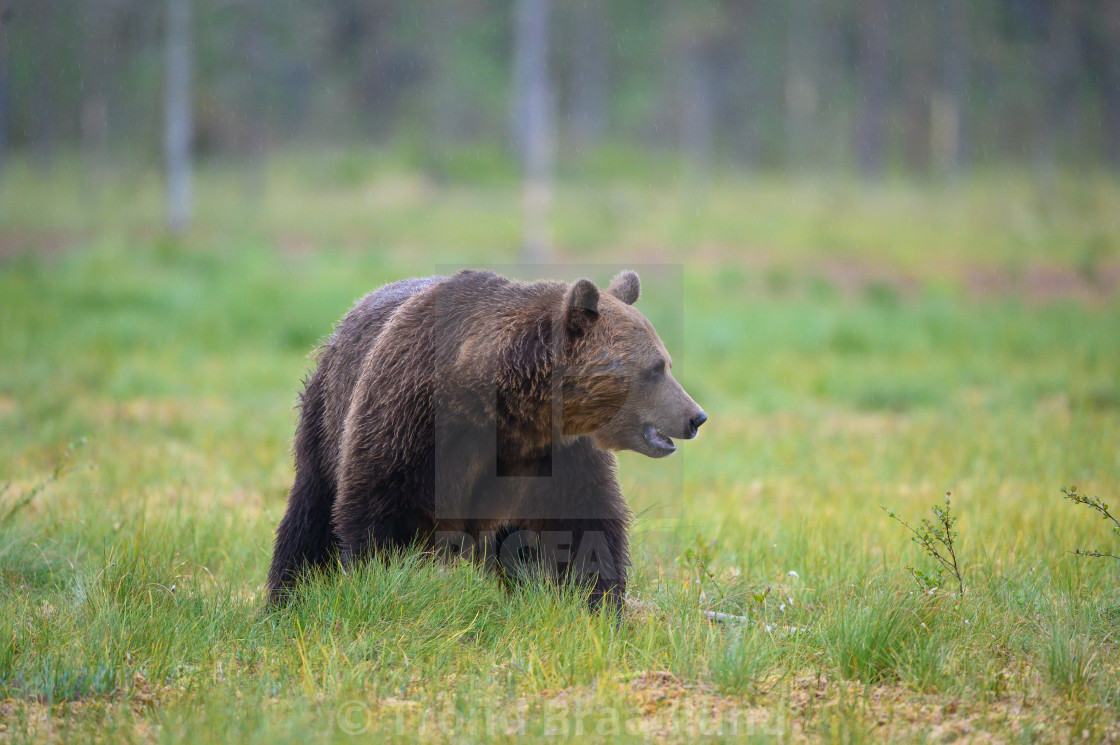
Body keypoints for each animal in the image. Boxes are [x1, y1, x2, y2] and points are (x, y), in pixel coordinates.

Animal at [265, 269, 703, 609]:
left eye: (666, 363)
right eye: (655, 368)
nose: (696, 416)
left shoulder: (557, 455)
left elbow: (583, 526)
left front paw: (598, 604)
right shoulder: (411, 424)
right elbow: (383, 514)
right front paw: (389, 584)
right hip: (326, 415)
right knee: (309, 516)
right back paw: (286, 599)